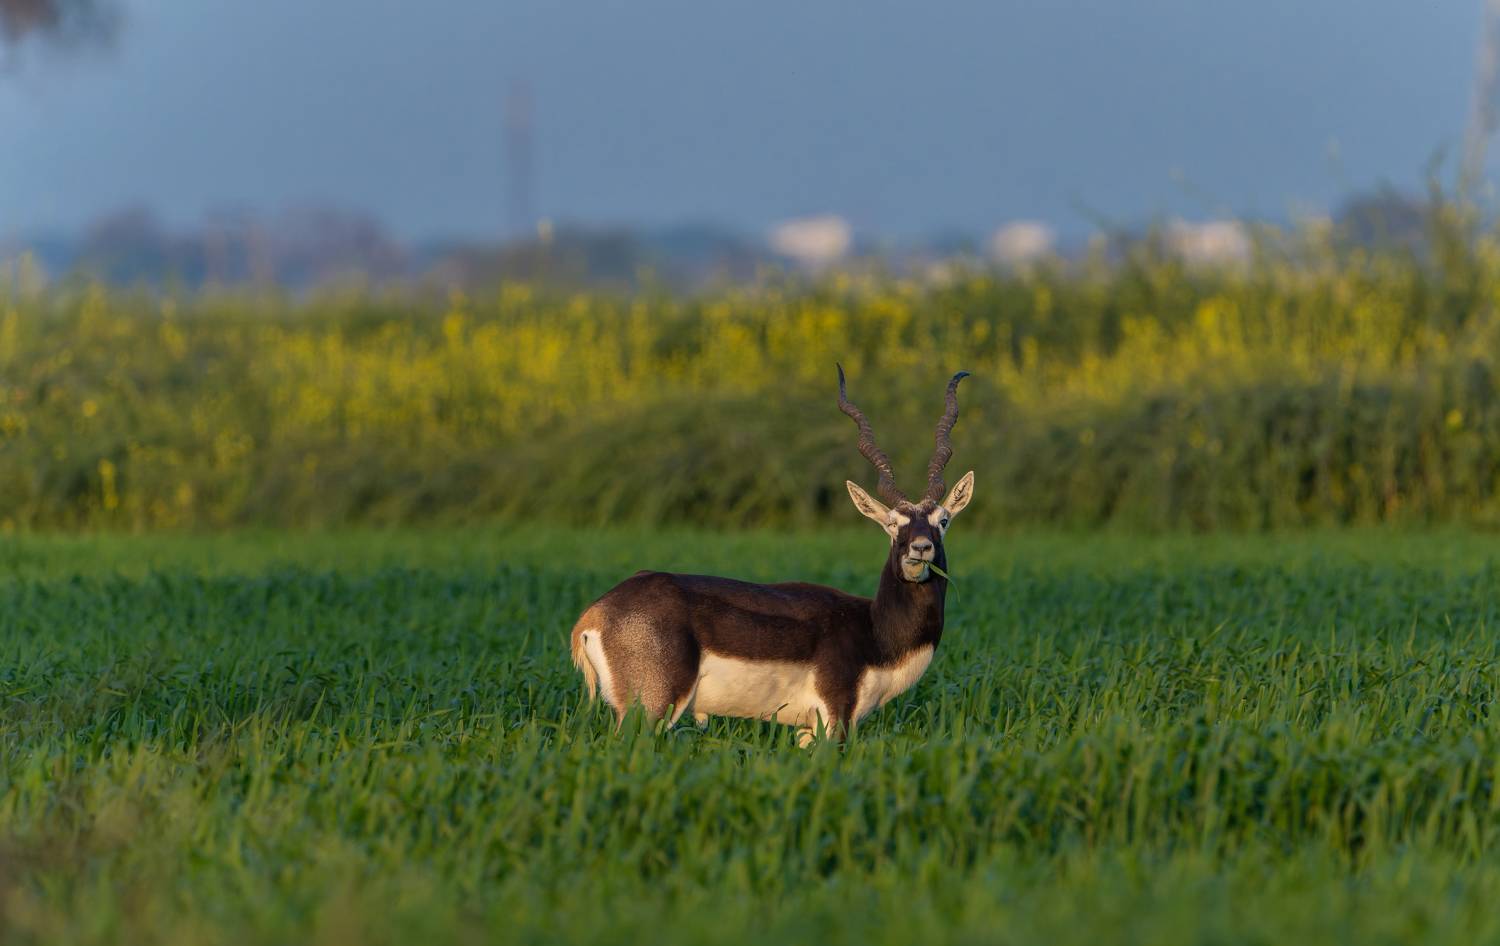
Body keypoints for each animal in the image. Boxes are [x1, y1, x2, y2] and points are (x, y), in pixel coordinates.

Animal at [568, 366, 974, 746]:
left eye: (943, 520)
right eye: (892, 524)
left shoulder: (808, 728)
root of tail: (596, 612)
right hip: (651, 708)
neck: (874, 630)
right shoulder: (836, 716)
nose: (920, 549)